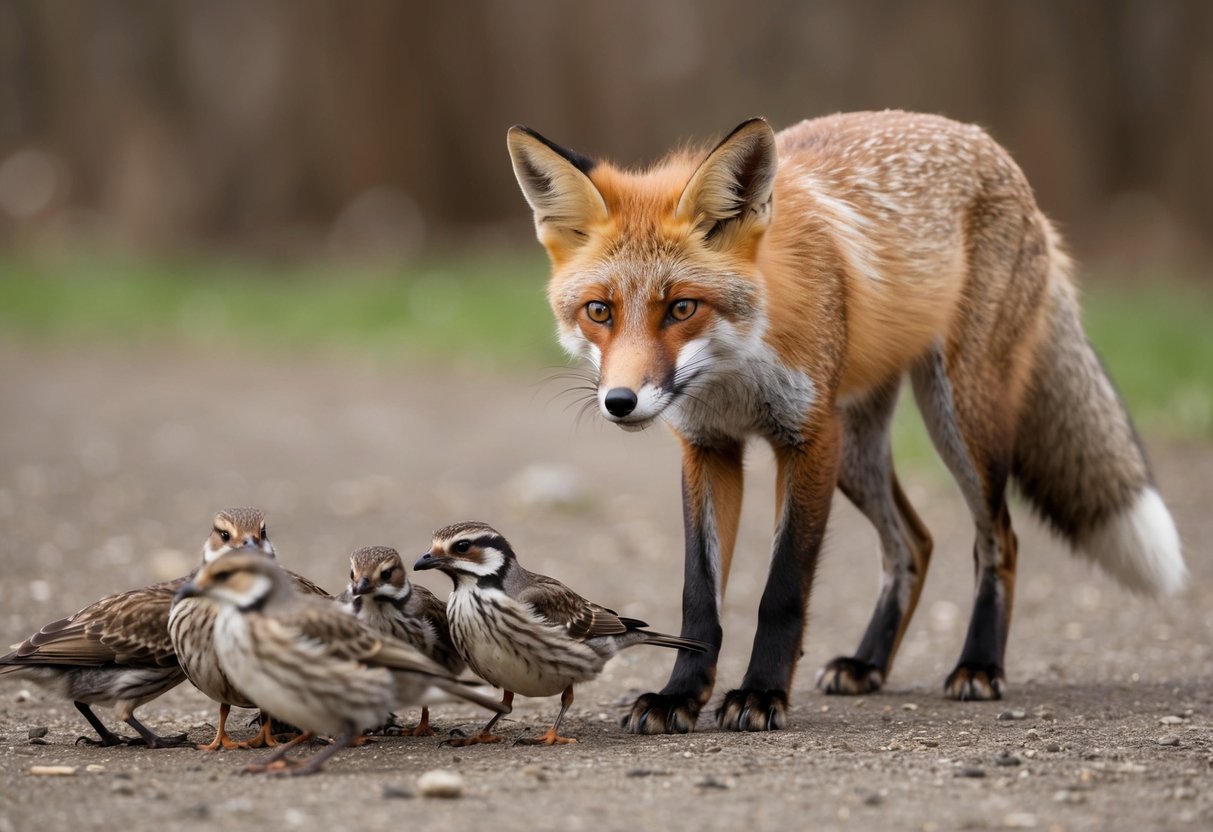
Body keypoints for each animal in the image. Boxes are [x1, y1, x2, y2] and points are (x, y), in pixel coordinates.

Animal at [505, 111, 1186, 734]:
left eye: (681, 308)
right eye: (599, 311)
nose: (620, 402)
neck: (734, 377)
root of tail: (991, 147)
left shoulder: (808, 440)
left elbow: (782, 590)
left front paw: (760, 694)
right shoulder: (709, 449)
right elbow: (699, 596)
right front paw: (680, 696)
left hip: (957, 419)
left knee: (999, 538)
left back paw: (979, 665)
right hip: (859, 454)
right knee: (913, 543)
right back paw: (868, 663)